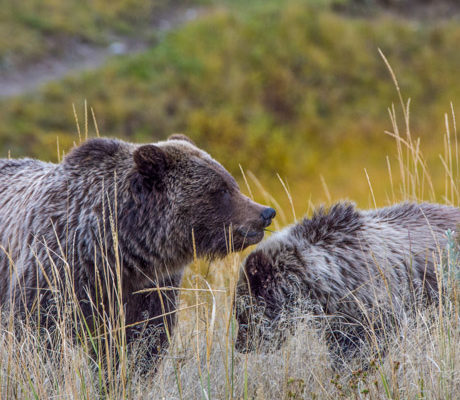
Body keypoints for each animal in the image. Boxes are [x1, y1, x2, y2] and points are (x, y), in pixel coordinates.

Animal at [0, 136, 274, 370]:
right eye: (221, 190)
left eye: (232, 183)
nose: (265, 212)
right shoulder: (56, 271)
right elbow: (38, 339)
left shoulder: (149, 289)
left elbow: (141, 345)